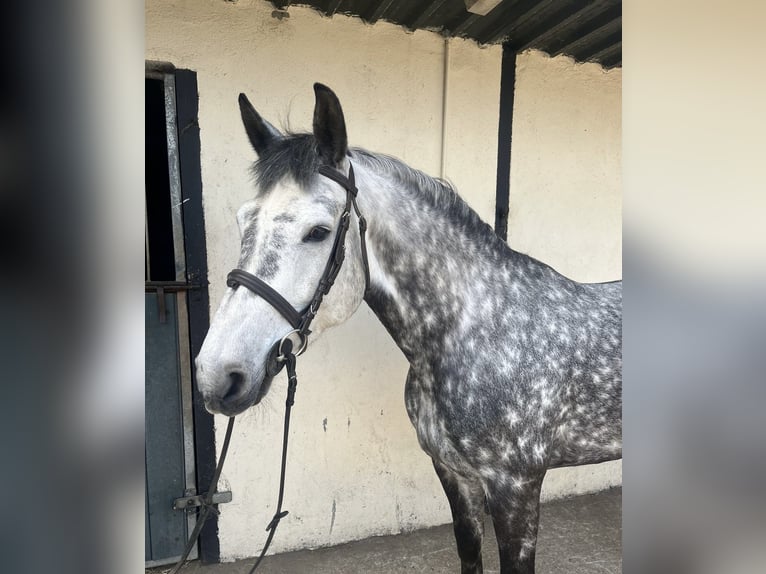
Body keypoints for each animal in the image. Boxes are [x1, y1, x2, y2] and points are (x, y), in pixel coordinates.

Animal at [195, 83, 622, 574]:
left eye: (318, 231)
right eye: (245, 220)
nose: (217, 374)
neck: (479, 330)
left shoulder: (516, 487)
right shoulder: (454, 476)